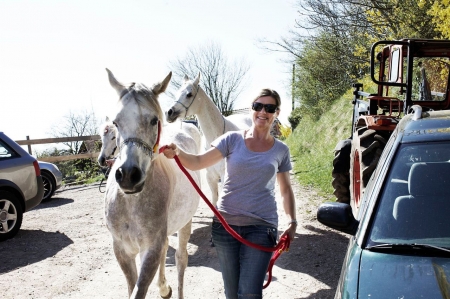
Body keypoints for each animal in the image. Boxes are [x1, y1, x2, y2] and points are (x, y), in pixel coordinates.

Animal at [104, 69, 200, 298]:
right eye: (116, 123)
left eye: (154, 120)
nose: (128, 175)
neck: (130, 203)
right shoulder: (122, 249)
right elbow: (132, 287)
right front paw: (163, 287)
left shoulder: (150, 249)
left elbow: (139, 290)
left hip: (185, 223)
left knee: (181, 259)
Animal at [165, 74, 251, 207]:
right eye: (177, 93)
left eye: (189, 94)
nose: (169, 113)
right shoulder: (210, 177)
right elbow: (214, 201)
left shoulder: (223, 176)